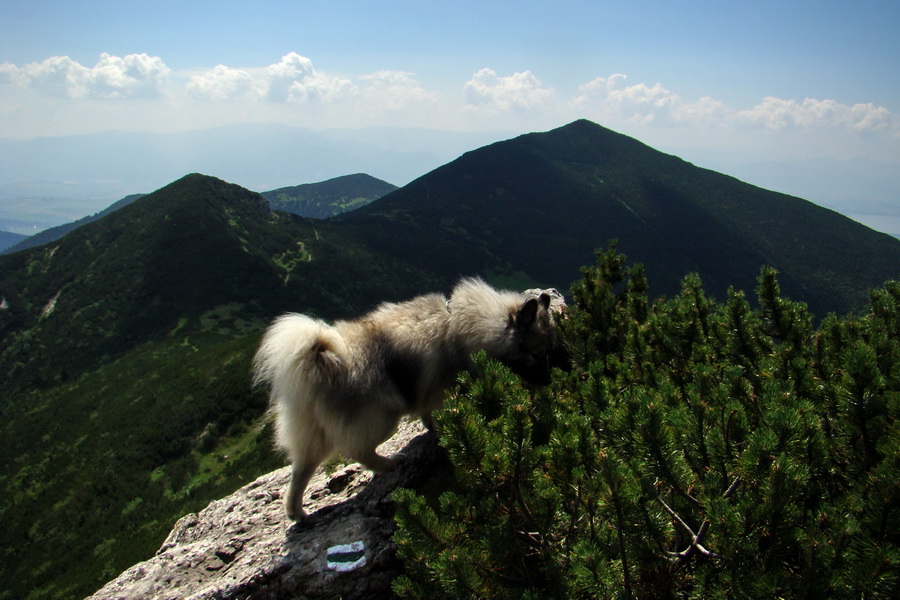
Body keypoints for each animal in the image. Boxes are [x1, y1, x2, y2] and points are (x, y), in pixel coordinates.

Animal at [251, 278, 556, 516]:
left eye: (546, 353)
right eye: (536, 354)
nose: (549, 380)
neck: (467, 326)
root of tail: (321, 365)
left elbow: (428, 414)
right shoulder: (440, 391)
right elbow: (439, 413)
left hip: (312, 439)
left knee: (299, 474)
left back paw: (297, 513)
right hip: (382, 420)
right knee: (359, 451)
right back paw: (390, 463)